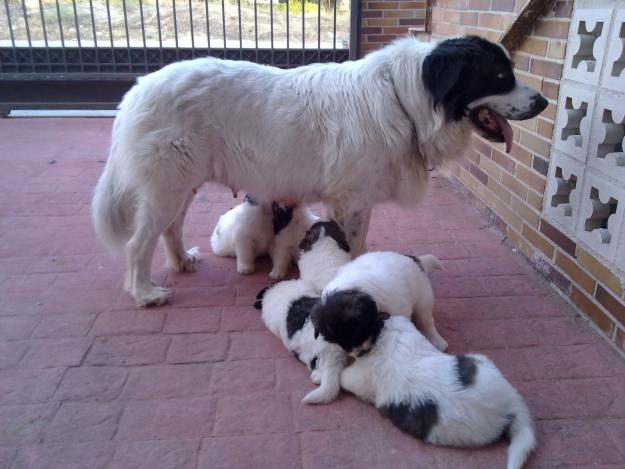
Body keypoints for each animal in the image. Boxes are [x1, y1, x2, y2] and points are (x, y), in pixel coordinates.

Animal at [91, 33, 544, 304]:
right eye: (499, 75)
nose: (543, 102)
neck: (408, 99)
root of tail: (137, 89)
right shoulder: (354, 200)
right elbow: (356, 247)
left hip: (180, 184)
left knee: (170, 227)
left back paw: (181, 261)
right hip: (167, 184)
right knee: (138, 244)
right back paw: (145, 293)